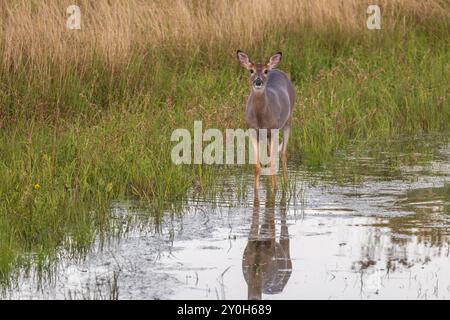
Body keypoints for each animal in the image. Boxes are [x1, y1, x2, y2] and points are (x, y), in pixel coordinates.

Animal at [236, 49, 296, 185]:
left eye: (265, 71)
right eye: (251, 70)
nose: (258, 82)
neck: (261, 119)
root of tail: (277, 69)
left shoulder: (274, 129)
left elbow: (273, 162)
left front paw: (275, 189)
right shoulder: (252, 130)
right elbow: (257, 165)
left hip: (288, 120)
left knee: (283, 153)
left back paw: (286, 184)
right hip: (267, 135)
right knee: (269, 156)